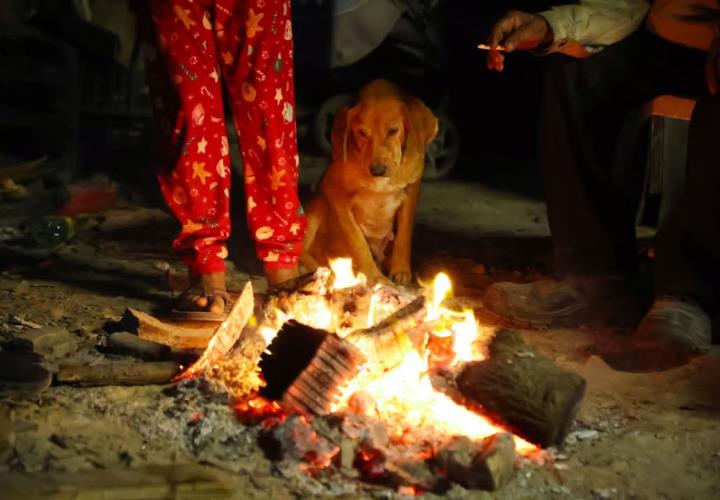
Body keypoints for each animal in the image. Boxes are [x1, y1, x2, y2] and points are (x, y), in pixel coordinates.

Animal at [300, 81, 436, 286]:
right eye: (362, 133)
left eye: (393, 131)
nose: (377, 170)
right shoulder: (335, 193)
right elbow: (357, 241)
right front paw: (374, 277)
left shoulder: (412, 189)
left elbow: (404, 235)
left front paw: (400, 269)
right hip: (319, 204)